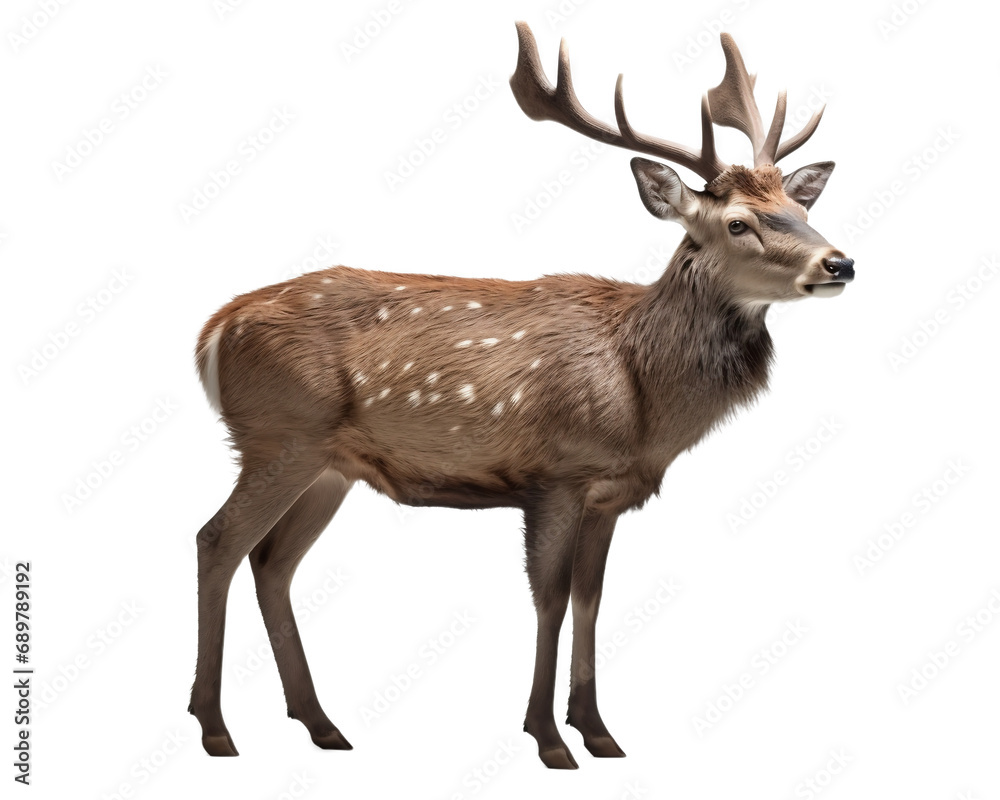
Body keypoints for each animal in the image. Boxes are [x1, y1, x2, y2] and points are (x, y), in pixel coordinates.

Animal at [188, 21, 854, 769]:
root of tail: (212, 331)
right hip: (280, 436)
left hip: (330, 466)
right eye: (738, 222)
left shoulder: (608, 493)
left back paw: (322, 724)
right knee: (217, 541)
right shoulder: (557, 473)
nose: (839, 263)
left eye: (798, 207)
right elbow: (552, 600)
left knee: (272, 563)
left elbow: (592, 600)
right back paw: (215, 726)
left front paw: (599, 731)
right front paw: (548, 738)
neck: (642, 401)